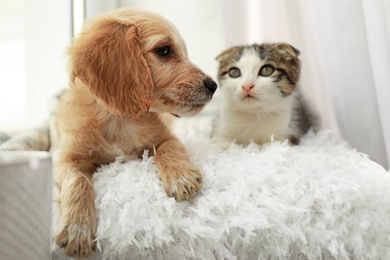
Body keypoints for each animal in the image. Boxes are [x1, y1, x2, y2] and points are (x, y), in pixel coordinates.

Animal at [54, 7, 218, 256]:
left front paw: (180, 176)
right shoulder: (67, 158)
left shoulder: (168, 138)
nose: (213, 86)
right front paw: (77, 227)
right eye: (164, 50)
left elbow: (166, 151)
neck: (119, 119)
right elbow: (77, 180)